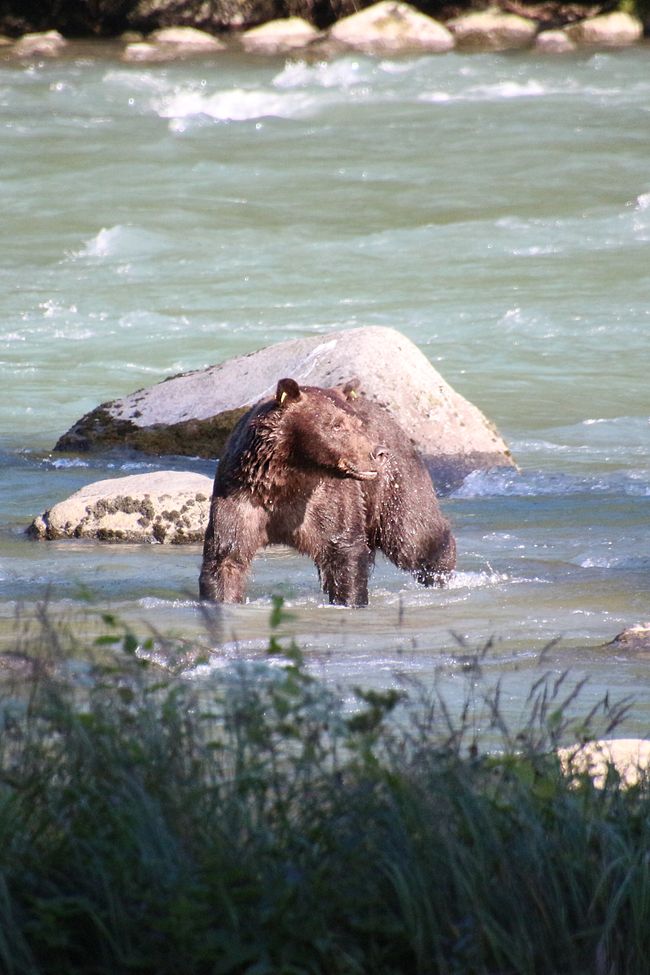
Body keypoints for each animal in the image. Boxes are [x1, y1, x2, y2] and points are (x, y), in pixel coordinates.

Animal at [199, 378, 456, 608]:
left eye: (359, 424)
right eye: (336, 425)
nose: (379, 453)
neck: (287, 480)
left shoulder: (325, 501)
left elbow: (344, 553)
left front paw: (350, 599)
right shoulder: (241, 497)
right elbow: (226, 557)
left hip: (395, 482)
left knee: (414, 536)